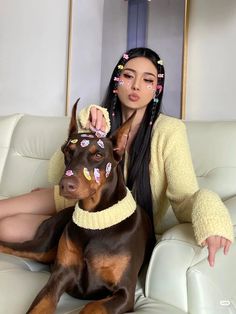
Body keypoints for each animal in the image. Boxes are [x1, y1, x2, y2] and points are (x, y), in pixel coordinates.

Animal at [0, 101, 155, 314]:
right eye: (67, 151)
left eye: (98, 155)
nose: (65, 185)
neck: (95, 219)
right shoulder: (60, 276)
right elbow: (41, 304)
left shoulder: (124, 292)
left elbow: (92, 306)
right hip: (41, 248)